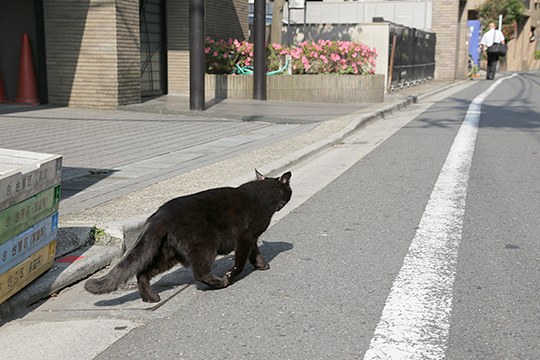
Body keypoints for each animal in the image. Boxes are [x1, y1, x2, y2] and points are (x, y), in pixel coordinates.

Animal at [84, 170, 292, 302]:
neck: (263, 195)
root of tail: (160, 215)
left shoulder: (252, 239)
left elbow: (255, 253)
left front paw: (262, 265)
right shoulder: (245, 238)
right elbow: (240, 263)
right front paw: (232, 274)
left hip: (168, 255)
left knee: (142, 272)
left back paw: (150, 298)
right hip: (204, 247)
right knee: (199, 273)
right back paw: (220, 282)